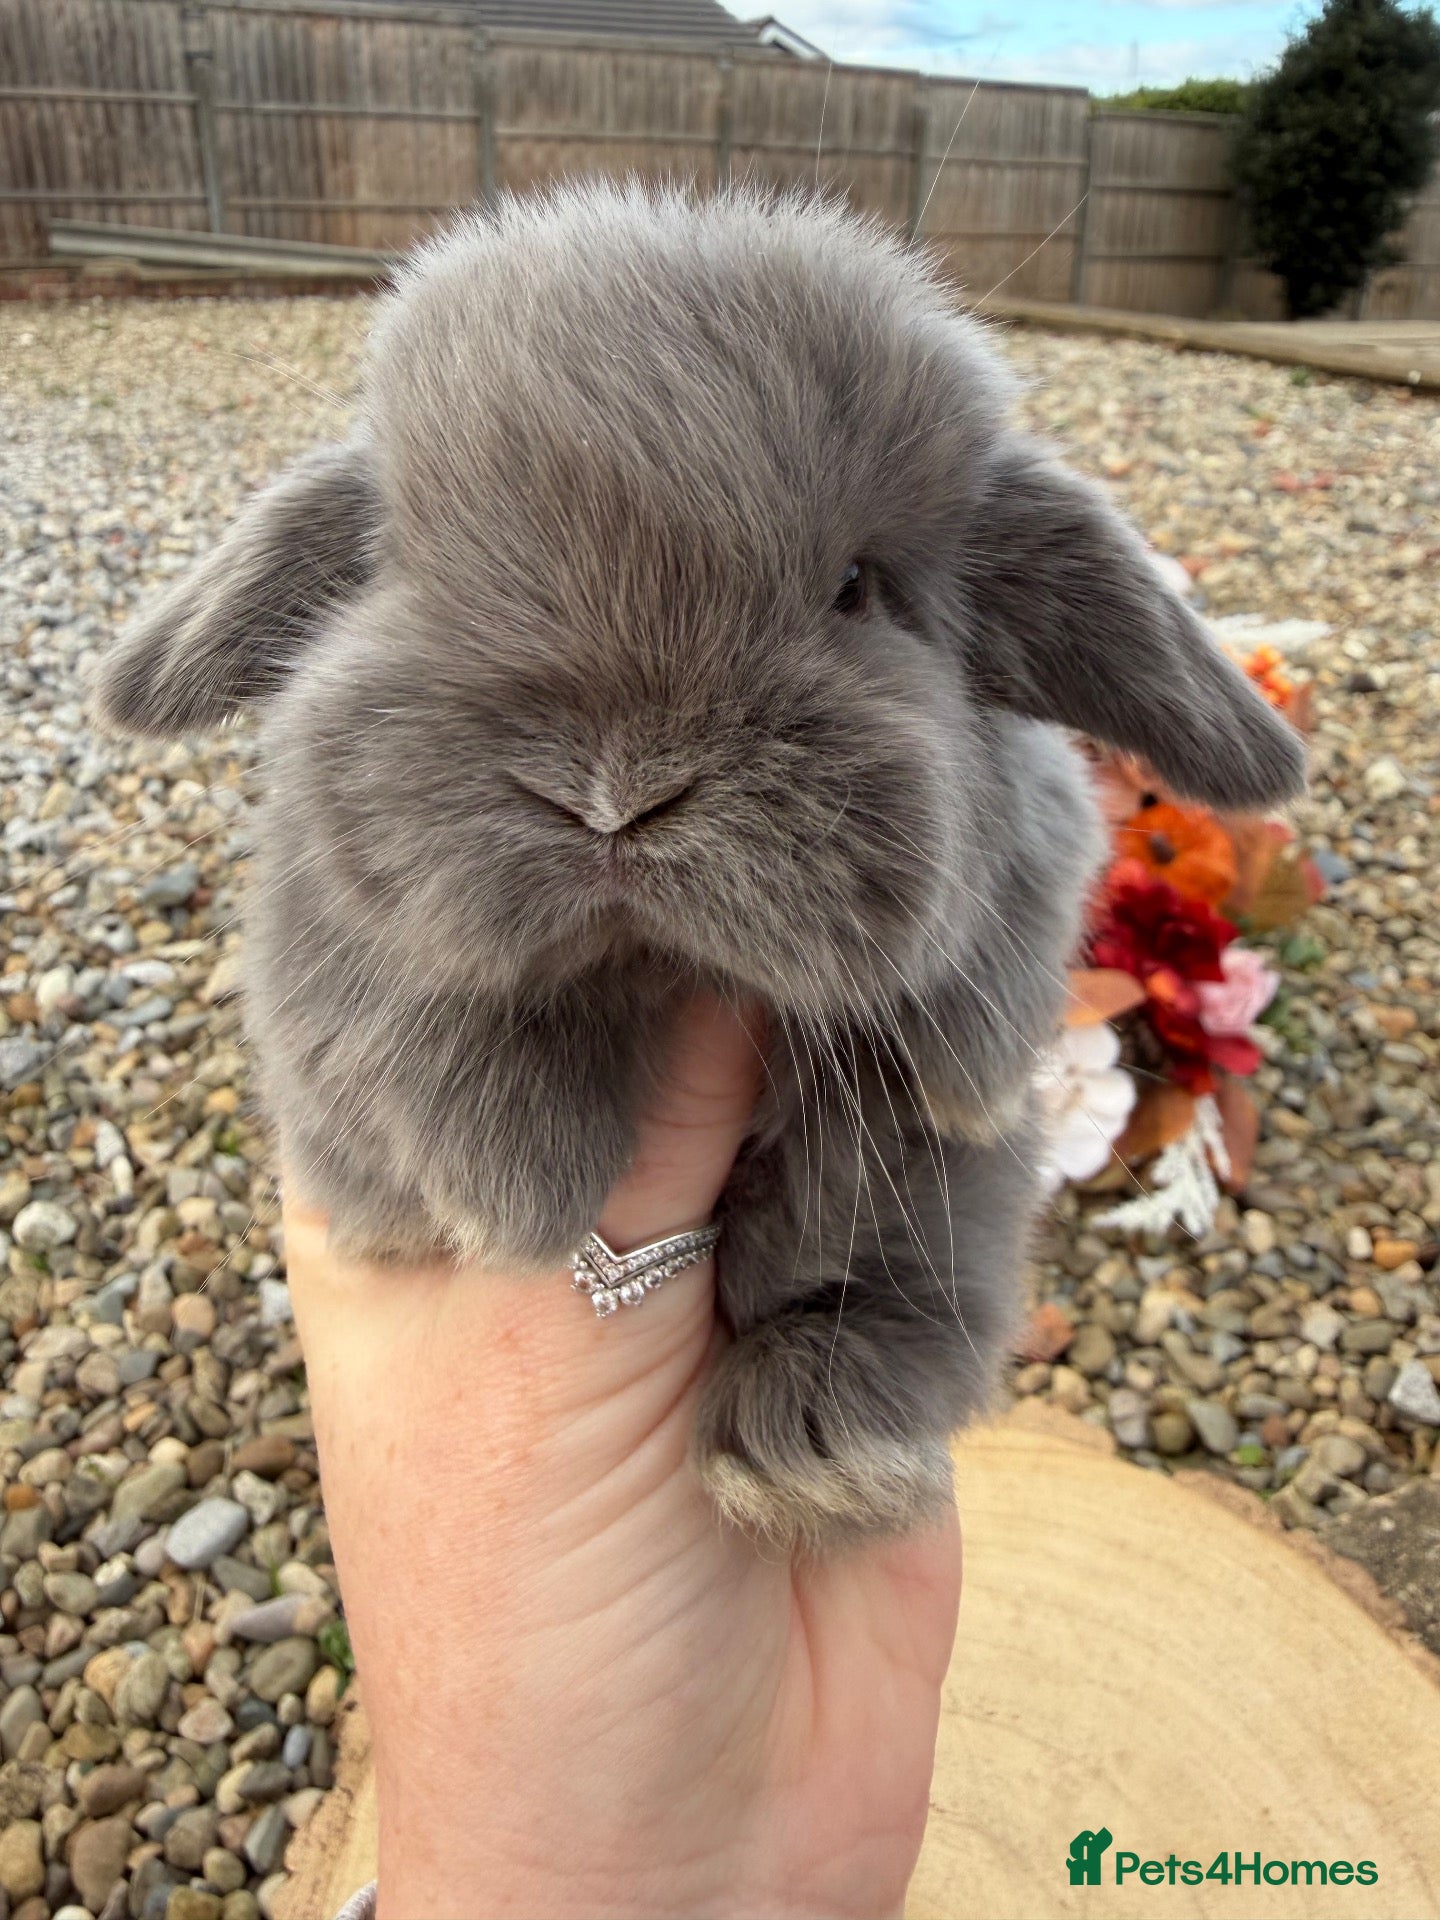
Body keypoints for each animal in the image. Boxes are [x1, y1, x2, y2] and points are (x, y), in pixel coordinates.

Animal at [94, 182, 1305, 1549]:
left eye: (858, 588)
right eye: (404, 567)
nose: (613, 795)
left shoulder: (1045, 839)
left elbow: (992, 947)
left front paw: (963, 1074)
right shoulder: (322, 923)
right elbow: (409, 1012)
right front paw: (514, 1187)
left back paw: (813, 1453)